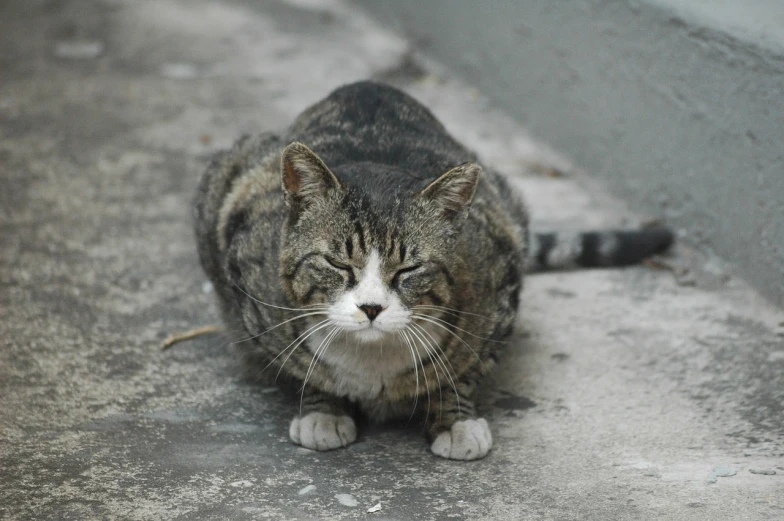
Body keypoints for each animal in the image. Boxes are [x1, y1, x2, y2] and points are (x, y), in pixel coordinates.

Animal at [193, 81, 672, 460]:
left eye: (410, 268)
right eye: (337, 262)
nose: (371, 308)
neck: (372, 363)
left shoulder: (502, 273)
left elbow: (466, 370)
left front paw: (454, 419)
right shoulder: (244, 269)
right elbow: (301, 369)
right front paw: (323, 408)